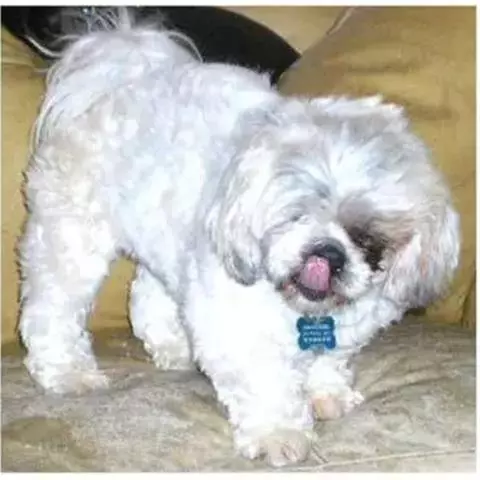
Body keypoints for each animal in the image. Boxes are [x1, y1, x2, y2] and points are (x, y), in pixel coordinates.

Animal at [18, 10, 460, 467]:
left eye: (367, 238)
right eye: (295, 216)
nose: (327, 252)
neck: (301, 310)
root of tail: (125, 71)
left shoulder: (344, 331)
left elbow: (326, 361)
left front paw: (327, 394)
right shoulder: (237, 328)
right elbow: (267, 386)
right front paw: (279, 434)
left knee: (147, 293)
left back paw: (173, 345)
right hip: (72, 239)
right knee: (52, 308)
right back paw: (68, 372)